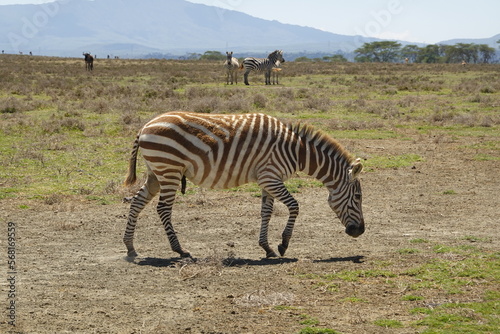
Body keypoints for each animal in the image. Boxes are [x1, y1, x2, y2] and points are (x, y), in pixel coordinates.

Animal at [121, 111, 364, 260]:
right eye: (358, 198)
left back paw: (130, 247)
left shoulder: (268, 180)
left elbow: (266, 212)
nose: (360, 231)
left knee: (137, 202)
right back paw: (179, 249)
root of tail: (145, 126)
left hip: (156, 173)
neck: (296, 150)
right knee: (162, 209)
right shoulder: (271, 177)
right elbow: (295, 206)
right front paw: (283, 244)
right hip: (169, 170)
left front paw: (266, 247)